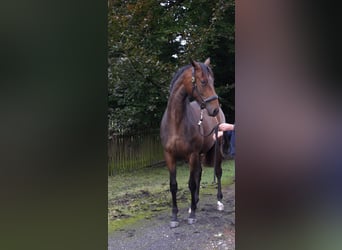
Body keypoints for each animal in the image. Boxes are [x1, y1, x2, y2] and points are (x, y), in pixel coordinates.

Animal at [161, 57, 227, 228]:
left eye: (213, 81)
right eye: (203, 82)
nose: (214, 109)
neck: (176, 122)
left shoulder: (192, 155)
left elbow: (191, 183)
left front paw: (192, 216)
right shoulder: (169, 156)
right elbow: (174, 185)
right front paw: (175, 216)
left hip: (215, 150)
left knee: (218, 172)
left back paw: (219, 202)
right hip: (201, 154)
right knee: (199, 173)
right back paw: (195, 203)